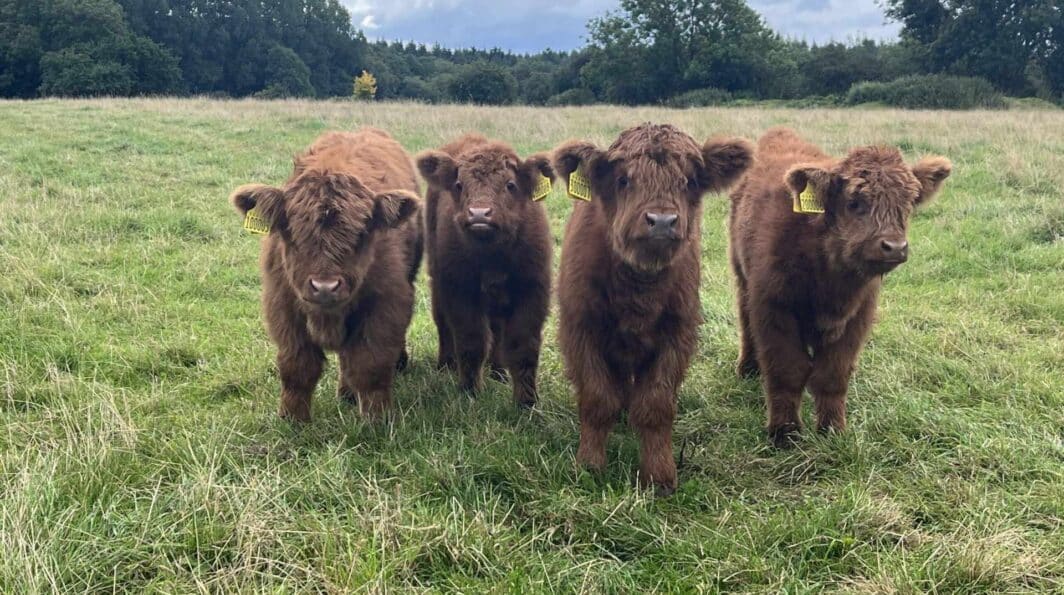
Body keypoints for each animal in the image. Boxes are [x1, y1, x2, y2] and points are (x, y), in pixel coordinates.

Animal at [228, 128, 423, 422]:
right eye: (292, 231)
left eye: (362, 233)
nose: (325, 286)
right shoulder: (283, 305)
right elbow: (297, 366)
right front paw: (293, 419)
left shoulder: (386, 305)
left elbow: (371, 364)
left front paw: (377, 419)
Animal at [416, 134, 554, 408]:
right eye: (459, 184)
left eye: (510, 184)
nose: (479, 214)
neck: (493, 255)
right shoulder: (460, 291)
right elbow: (472, 341)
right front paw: (469, 392)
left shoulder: (532, 291)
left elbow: (523, 346)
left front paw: (527, 402)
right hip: (437, 278)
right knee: (442, 321)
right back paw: (446, 365)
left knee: (497, 331)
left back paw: (498, 372)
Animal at [553, 123, 754, 495]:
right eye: (623, 179)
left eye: (690, 180)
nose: (661, 221)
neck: (638, 288)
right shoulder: (581, 329)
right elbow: (597, 398)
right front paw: (589, 465)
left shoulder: (677, 334)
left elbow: (656, 406)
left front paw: (659, 476)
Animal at [729, 127, 951, 447]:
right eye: (854, 202)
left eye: (908, 203)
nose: (894, 247)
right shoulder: (773, 308)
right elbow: (787, 371)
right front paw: (785, 432)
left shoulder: (857, 317)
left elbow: (832, 375)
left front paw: (832, 430)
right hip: (740, 273)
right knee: (745, 320)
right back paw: (747, 367)